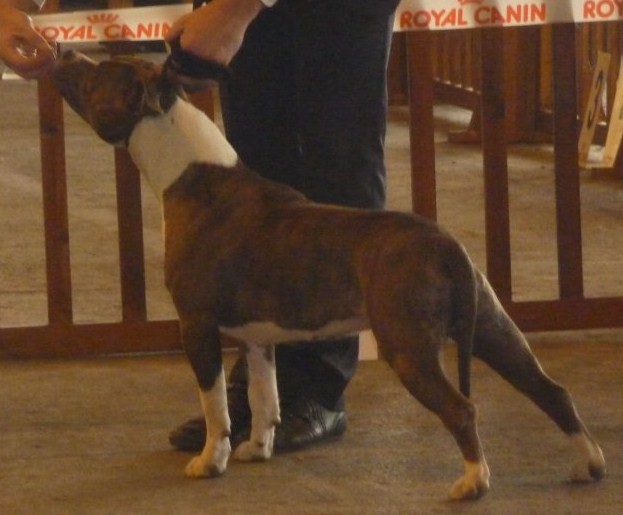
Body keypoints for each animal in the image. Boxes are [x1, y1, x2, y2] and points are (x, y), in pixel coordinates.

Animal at [53, 50, 605, 500]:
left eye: (99, 73)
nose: (64, 52)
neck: (190, 170)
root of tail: (443, 241)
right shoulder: (258, 338)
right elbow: (264, 396)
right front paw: (258, 449)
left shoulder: (197, 325)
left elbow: (215, 406)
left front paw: (210, 461)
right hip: (493, 327)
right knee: (549, 389)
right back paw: (589, 464)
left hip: (408, 346)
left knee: (462, 408)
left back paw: (473, 482)